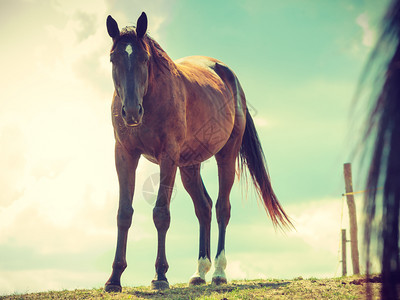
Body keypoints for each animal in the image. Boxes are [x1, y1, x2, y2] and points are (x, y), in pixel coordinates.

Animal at [103, 12, 290, 292]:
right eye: (113, 58)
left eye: (144, 58)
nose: (132, 111)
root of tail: (228, 75)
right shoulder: (125, 155)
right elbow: (124, 213)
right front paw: (114, 278)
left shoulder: (167, 157)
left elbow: (161, 213)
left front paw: (160, 276)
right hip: (189, 166)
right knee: (204, 207)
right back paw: (200, 272)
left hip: (225, 156)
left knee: (222, 208)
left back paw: (219, 273)